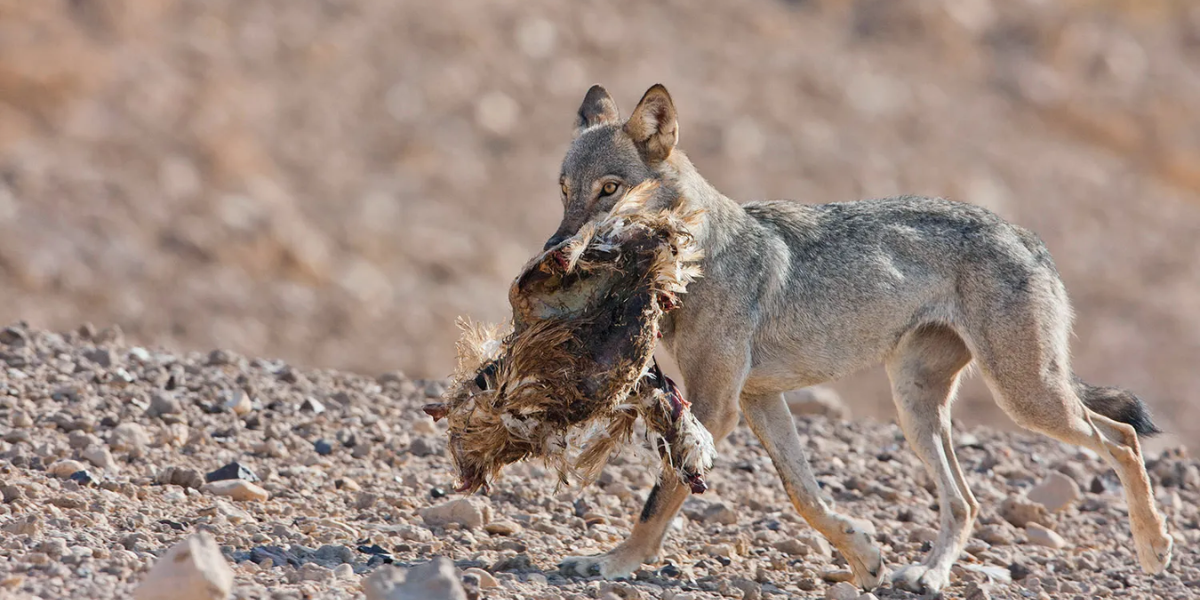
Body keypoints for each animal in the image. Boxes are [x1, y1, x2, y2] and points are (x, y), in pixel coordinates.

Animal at [544, 84, 1171, 595]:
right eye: (565, 190)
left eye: (610, 190)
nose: (556, 251)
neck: (699, 255)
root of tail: (1025, 235)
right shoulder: (758, 400)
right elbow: (806, 496)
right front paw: (865, 557)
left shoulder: (716, 407)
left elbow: (659, 500)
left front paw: (613, 563)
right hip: (916, 408)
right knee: (966, 501)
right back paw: (929, 575)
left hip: (1025, 398)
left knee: (1121, 439)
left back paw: (1154, 547)